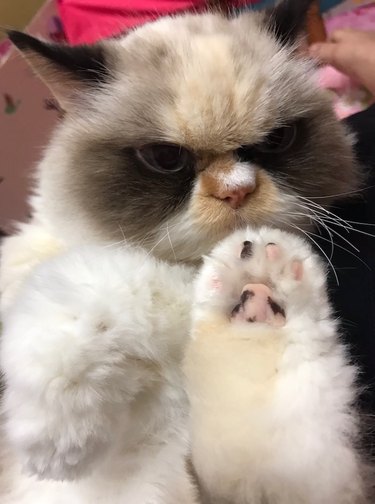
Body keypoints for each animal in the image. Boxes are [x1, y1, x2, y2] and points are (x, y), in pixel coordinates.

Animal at [0, 0, 368, 502]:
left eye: (275, 141)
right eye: (165, 158)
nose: (236, 190)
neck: (179, 275)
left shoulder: (255, 481)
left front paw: (257, 284)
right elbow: (81, 282)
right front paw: (58, 445)